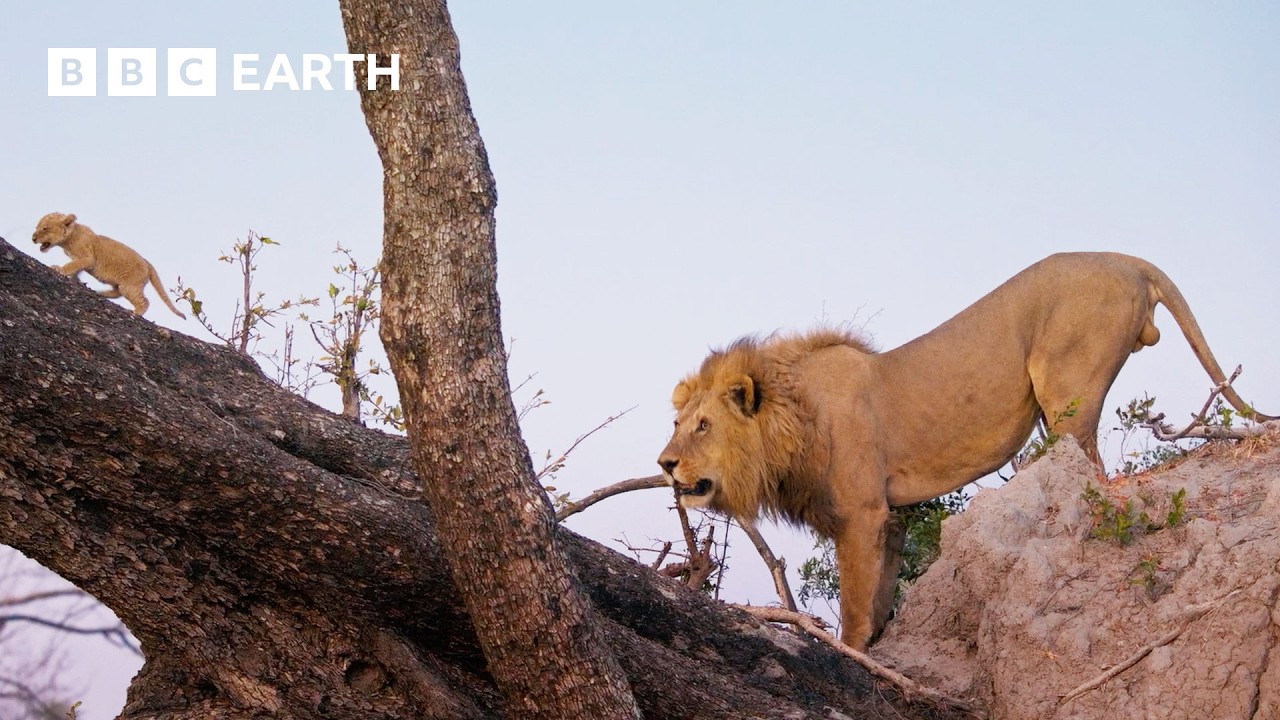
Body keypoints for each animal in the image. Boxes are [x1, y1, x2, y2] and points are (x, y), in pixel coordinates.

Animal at [32, 212, 185, 319]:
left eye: (44, 228)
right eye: (37, 227)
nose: (33, 238)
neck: (69, 238)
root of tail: (148, 264)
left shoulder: (87, 257)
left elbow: (72, 265)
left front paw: (59, 269)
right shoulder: (82, 260)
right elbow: (76, 268)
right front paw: (76, 279)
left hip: (130, 285)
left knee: (143, 300)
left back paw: (135, 312)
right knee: (117, 292)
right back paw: (100, 292)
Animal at [657, 252, 1274, 651]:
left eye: (704, 426)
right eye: (677, 423)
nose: (664, 464)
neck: (793, 415)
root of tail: (1129, 260)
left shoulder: (861, 513)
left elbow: (854, 608)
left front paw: (852, 652)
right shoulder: (893, 515)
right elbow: (881, 596)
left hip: (1065, 386)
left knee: (1088, 467)